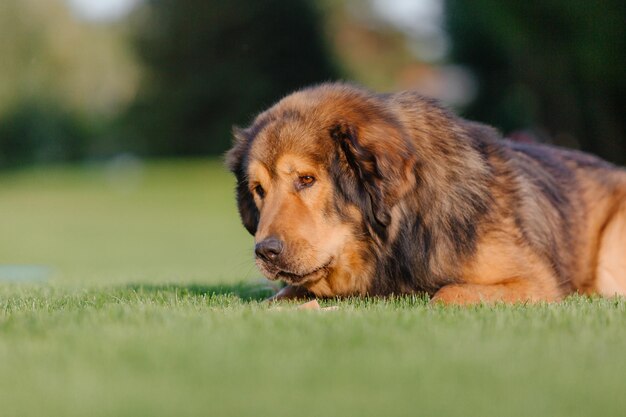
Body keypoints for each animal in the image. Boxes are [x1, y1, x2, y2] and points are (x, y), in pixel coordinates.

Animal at [224, 82, 624, 302]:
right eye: (259, 190)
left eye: (306, 180)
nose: (266, 252)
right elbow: (278, 298)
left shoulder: (535, 280)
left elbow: (446, 295)